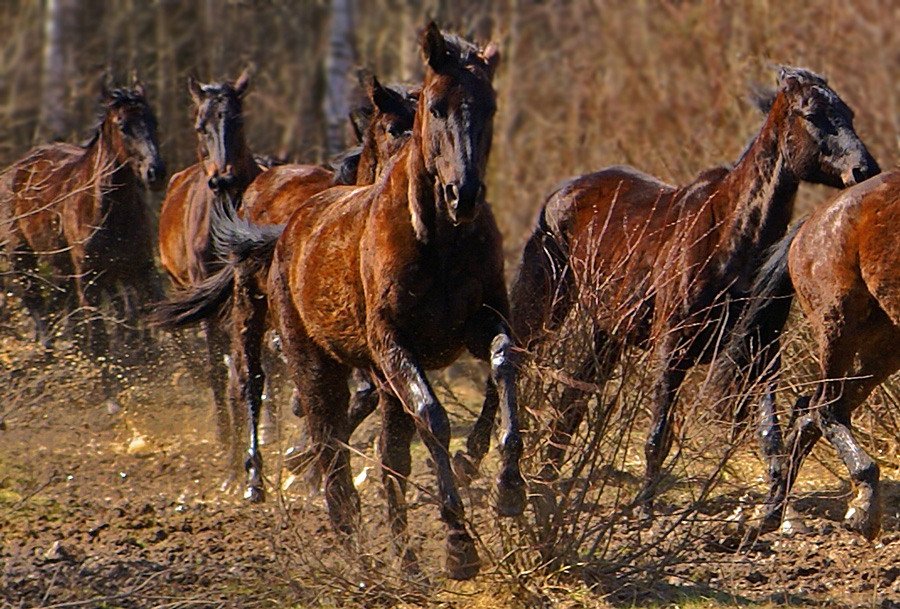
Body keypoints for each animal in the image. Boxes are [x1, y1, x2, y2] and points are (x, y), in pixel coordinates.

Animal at [0, 74, 166, 371]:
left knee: (59, 307)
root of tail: (14, 171)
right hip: (21, 256)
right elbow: (100, 336)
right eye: (123, 126)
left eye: (153, 121)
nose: (155, 172)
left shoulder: (141, 266)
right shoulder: (89, 277)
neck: (109, 210)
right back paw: (49, 355)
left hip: (61, 265)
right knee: (37, 304)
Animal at [501, 66, 879, 525]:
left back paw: (545, 485)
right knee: (515, 358)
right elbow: (657, 436)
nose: (864, 169)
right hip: (549, 303)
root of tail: (564, 192)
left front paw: (777, 511)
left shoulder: (759, 351)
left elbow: (770, 435)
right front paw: (645, 509)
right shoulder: (672, 349)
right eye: (811, 114)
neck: (731, 239)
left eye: (848, 113)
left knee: (572, 399)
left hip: (606, 332)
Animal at [732, 169, 897, 541]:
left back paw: (773, 511)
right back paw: (863, 507)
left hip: (886, 342)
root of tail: (813, 220)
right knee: (826, 407)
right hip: (838, 322)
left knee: (810, 411)